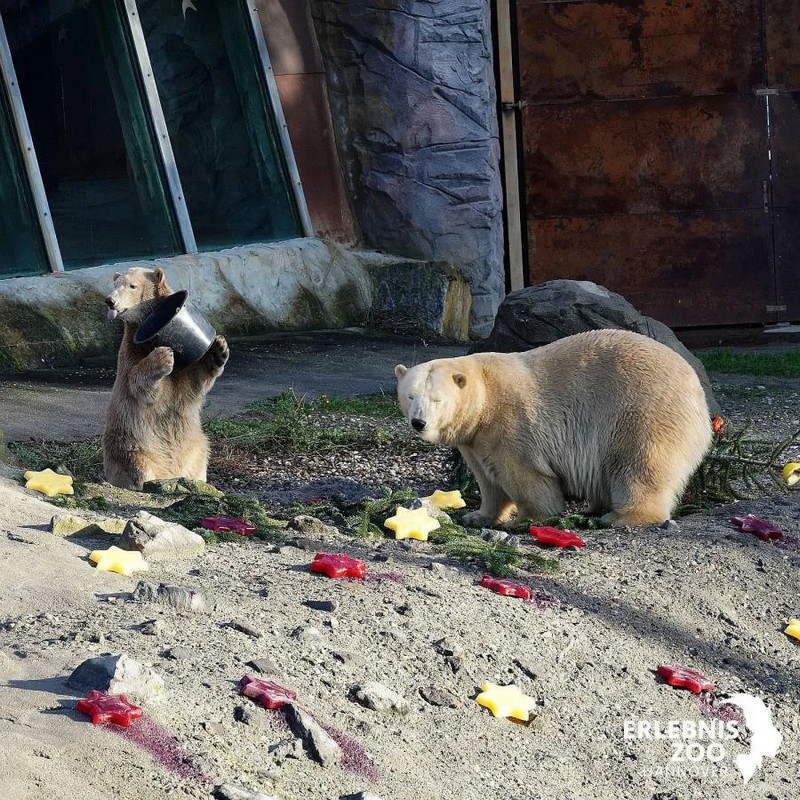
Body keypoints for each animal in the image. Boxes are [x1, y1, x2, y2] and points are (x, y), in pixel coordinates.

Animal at [101, 268, 228, 490]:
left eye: (132, 286)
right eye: (115, 285)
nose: (110, 301)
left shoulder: (183, 374)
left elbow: (193, 383)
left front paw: (219, 348)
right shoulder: (131, 352)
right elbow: (140, 385)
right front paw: (162, 357)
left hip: (196, 449)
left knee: (200, 458)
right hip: (133, 448)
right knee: (139, 469)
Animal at [394, 328, 712, 528]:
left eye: (437, 399)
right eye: (410, 396)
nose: (419, 422)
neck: (485, 400)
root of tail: (698, 393)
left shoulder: (512, 423)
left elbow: (525, 475)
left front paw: (528, 518)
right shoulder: (474, 439)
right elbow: (488, 479)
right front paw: (478, 516)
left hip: (642, 412)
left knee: (638, 465)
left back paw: (621, 516)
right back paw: (596, 507)